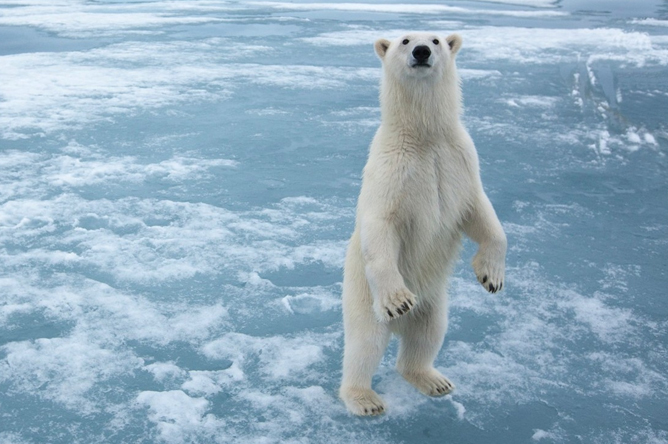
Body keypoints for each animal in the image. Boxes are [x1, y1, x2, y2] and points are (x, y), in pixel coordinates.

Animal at [340, 32, 506, 416]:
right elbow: (381, 224)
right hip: (362, 295)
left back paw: (433, 379)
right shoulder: (392, 170)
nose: (421, 51)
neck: (425, 136)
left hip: (434, 301)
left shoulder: (460, 161)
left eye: (436, 39)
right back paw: (364, 398)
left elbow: (481, 214)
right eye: (404, 40)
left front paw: (491, 276)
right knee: (365, 343)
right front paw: (399, 299)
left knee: (428, 334)